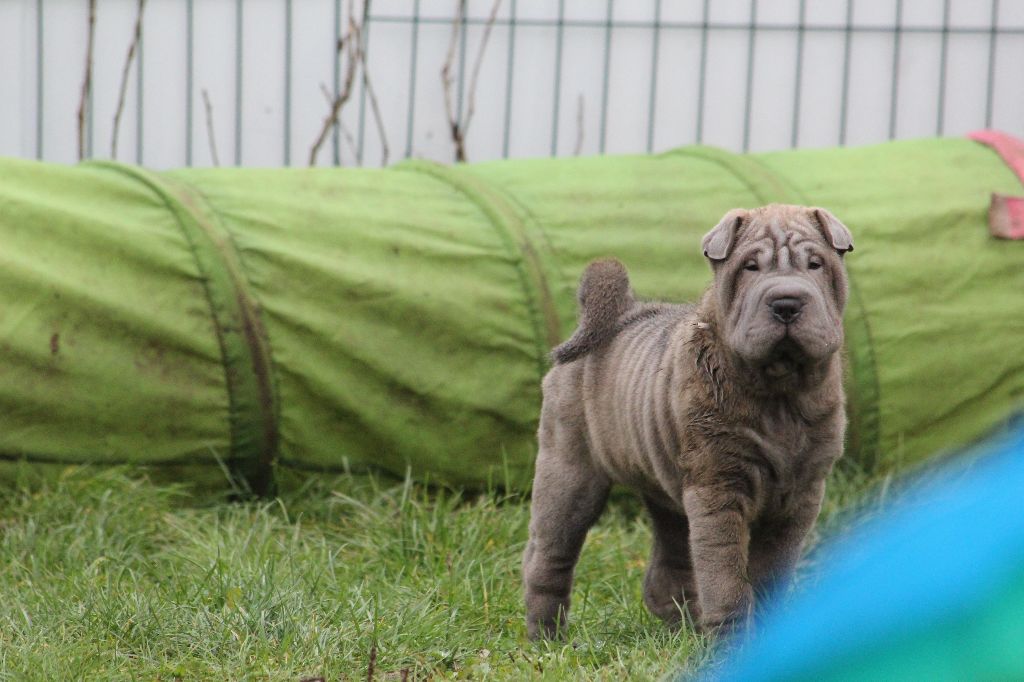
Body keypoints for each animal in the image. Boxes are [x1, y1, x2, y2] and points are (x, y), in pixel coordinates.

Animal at [524, 201, 851, 638]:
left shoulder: (800, 494)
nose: (786, 303)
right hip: (569, 472)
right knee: (550, 554)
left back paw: (682, 625)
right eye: (750, 267)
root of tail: (621, 312)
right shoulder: (718, 485)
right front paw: (730, 637)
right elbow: (724, 572)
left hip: (667, 492)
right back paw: (547, 635)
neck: (778, 391)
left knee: (669, 560)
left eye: (815, 264)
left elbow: (770, 570)